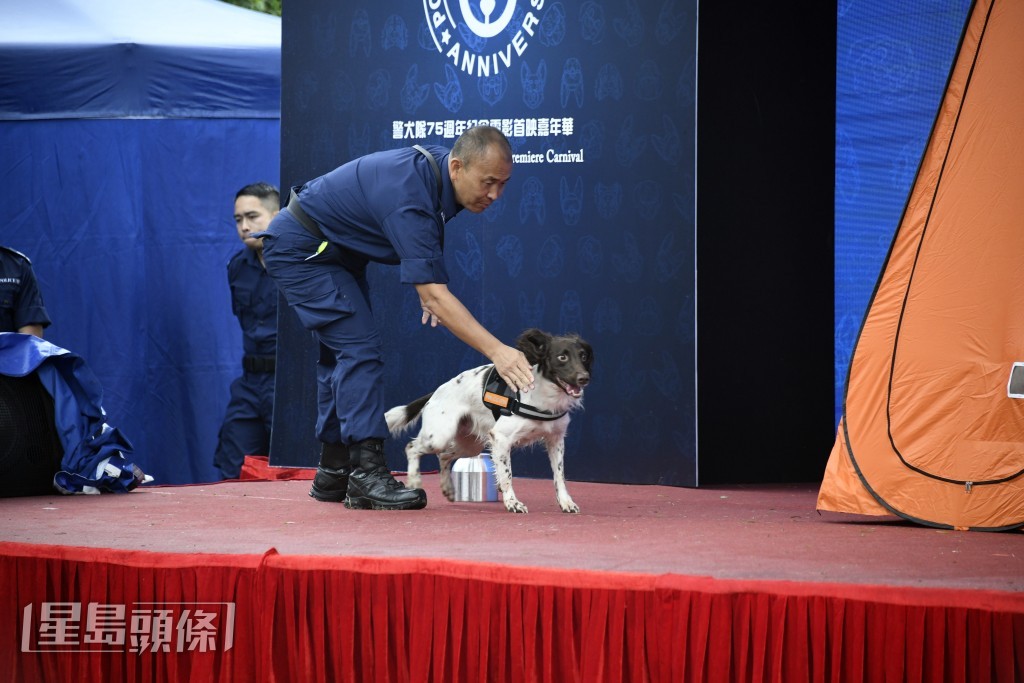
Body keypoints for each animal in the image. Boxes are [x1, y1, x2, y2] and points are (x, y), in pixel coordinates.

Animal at [385, 329, 593, 511]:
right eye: (562, 357)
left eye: (583, 356)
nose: (584, 378)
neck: (544, 395)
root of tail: (436, 391)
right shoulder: (500, 437)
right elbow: (507, 475)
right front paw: (512, 503)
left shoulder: (556, 440)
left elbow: (559, 476)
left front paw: (566, 502)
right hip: (438, 437)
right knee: (412, 448)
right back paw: (414, 481)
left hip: (469, 445)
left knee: (443, 456)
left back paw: (448, 488)